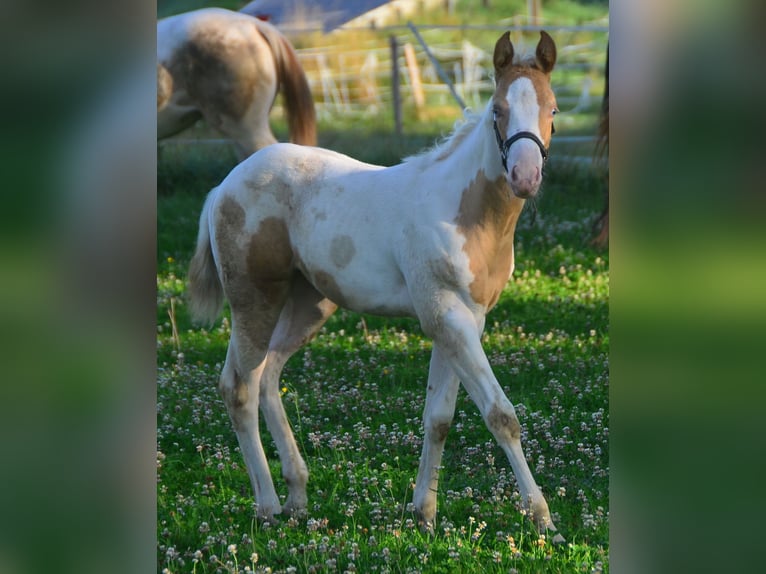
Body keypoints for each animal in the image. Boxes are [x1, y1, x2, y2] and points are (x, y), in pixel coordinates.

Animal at [187, 30, 563, 541]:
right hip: (254, 301)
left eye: (553, 110)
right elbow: (501, 415)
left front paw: (424, 514)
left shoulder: (466, 319)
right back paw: (267, 505)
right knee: (239, 387)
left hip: (308, 305)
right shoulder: (446, 315)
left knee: (267, 377)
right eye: (497, 110)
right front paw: (542, 518)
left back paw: (298, 496)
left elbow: (438, 418)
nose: (525, 178)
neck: (464, 210)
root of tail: (223, 187)